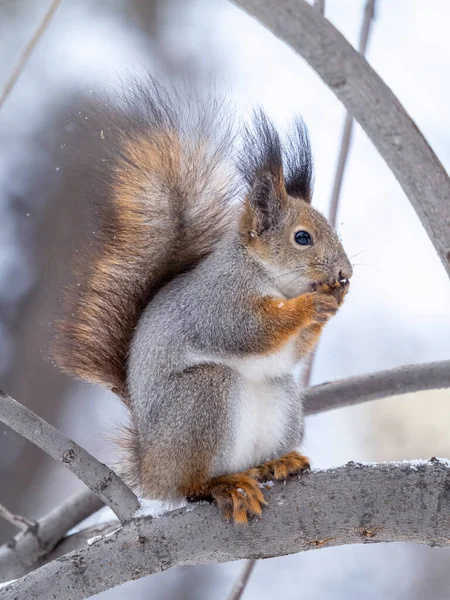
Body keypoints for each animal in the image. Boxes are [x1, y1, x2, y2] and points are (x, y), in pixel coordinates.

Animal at [55, 77, 352, 524]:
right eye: (302, 237)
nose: (344, 273)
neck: (271, 279)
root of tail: (149, 469)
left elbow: (289, 353)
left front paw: (333, 304)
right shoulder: (217, 299)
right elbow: (244, 330)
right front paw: (311, 307)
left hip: (282, 401)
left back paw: (274, 463)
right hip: (202, 398)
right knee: (189, 484)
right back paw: (223, 486)